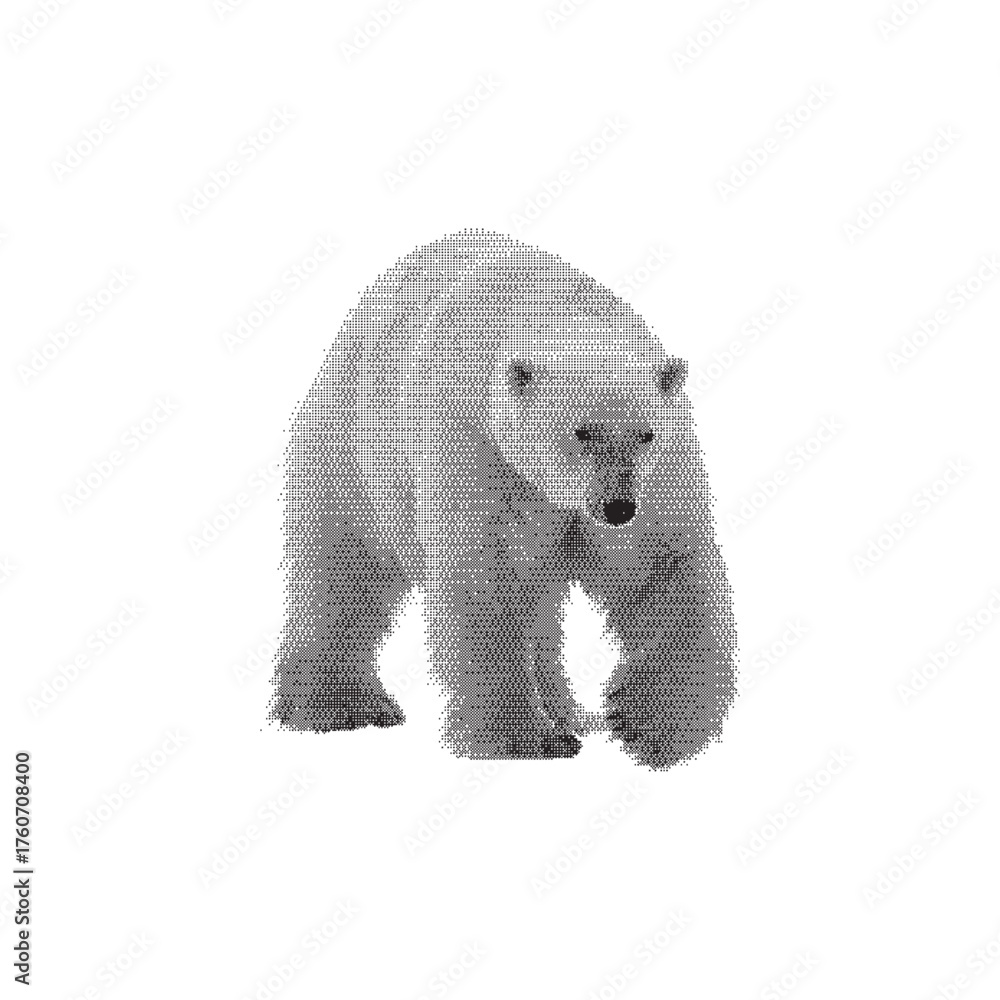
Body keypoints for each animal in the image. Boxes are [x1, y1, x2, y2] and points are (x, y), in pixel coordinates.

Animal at [268, 229, 736, 770]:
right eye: (581, 432)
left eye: (646, 435)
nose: (617, 508)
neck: (549, 309)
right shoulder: (475, 447)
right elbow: (488, 580)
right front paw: (525, 739)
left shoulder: (661, 473)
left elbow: (660, 568)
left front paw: (657, 729)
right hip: (350, 448)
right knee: (344, 569)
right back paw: (339, 706)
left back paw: (570, 714)